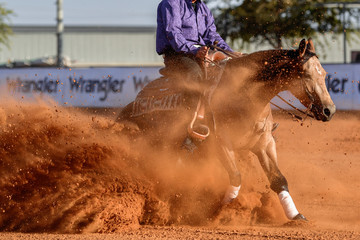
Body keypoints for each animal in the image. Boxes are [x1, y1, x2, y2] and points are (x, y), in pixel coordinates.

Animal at [116, 39, 336, 221]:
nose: (330, 110)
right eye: (305, 74)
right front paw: (220, 210)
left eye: (324, 74)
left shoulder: (264, 144)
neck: (246, 95)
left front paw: (295, 216)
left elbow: (278, 179)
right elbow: (236, 176)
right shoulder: (220, 143)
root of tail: (133, 106)